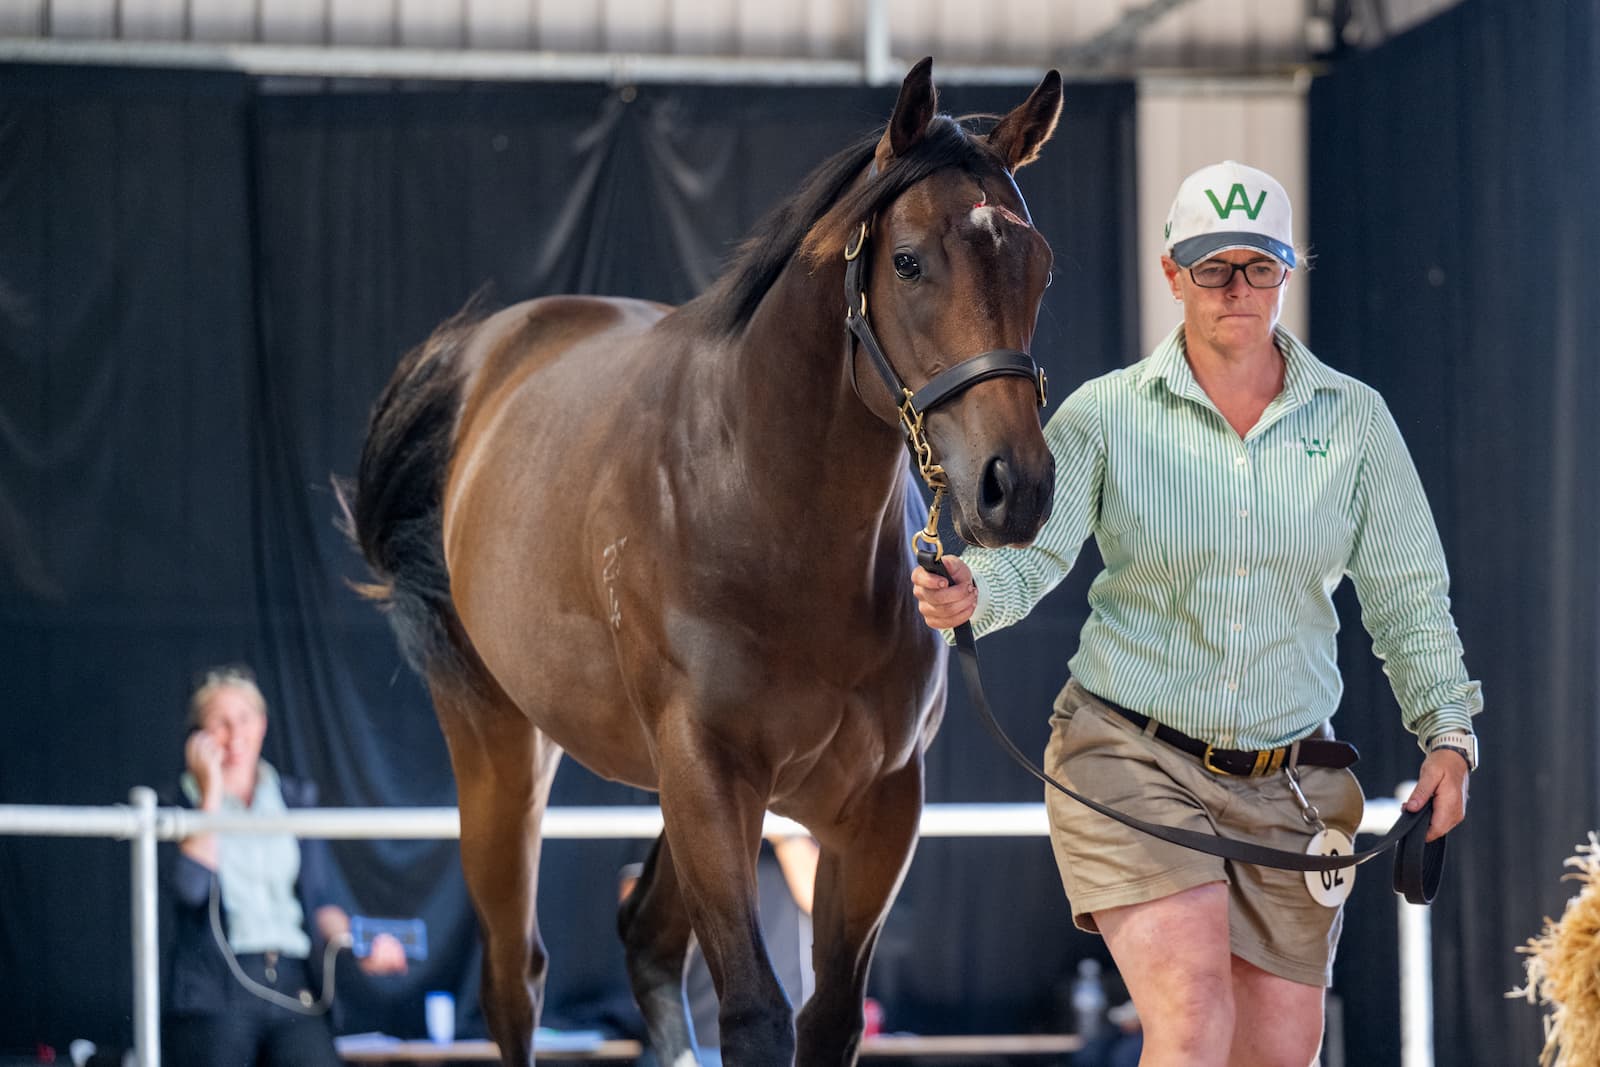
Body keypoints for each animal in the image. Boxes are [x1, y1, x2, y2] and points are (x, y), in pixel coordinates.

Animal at [348, 57, 1063, 1066]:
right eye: (910, 260)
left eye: (1037, 264)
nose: (1016, 486)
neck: (764, 518)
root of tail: (486, 359)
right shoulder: (710, 778)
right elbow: (757, 1010)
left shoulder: (877, 808)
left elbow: (829, 1014)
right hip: (498, 746)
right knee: (513, 980)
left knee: (643, 939)